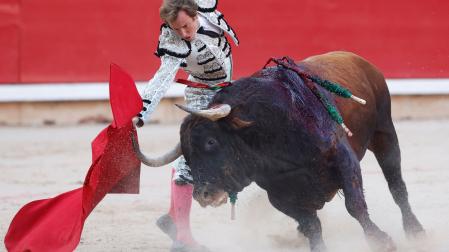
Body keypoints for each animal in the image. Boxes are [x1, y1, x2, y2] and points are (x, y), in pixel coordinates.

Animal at [132, 51, 424, 252]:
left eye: (211, 142)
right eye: (188, 154)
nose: (202, 194)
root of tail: (356, 58)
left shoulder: (343, 159)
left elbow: (355, 205)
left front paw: (381, 241)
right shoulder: (279, 195)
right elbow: (311, 225)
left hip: (384, 133)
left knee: (397, 185)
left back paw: (415, 231)